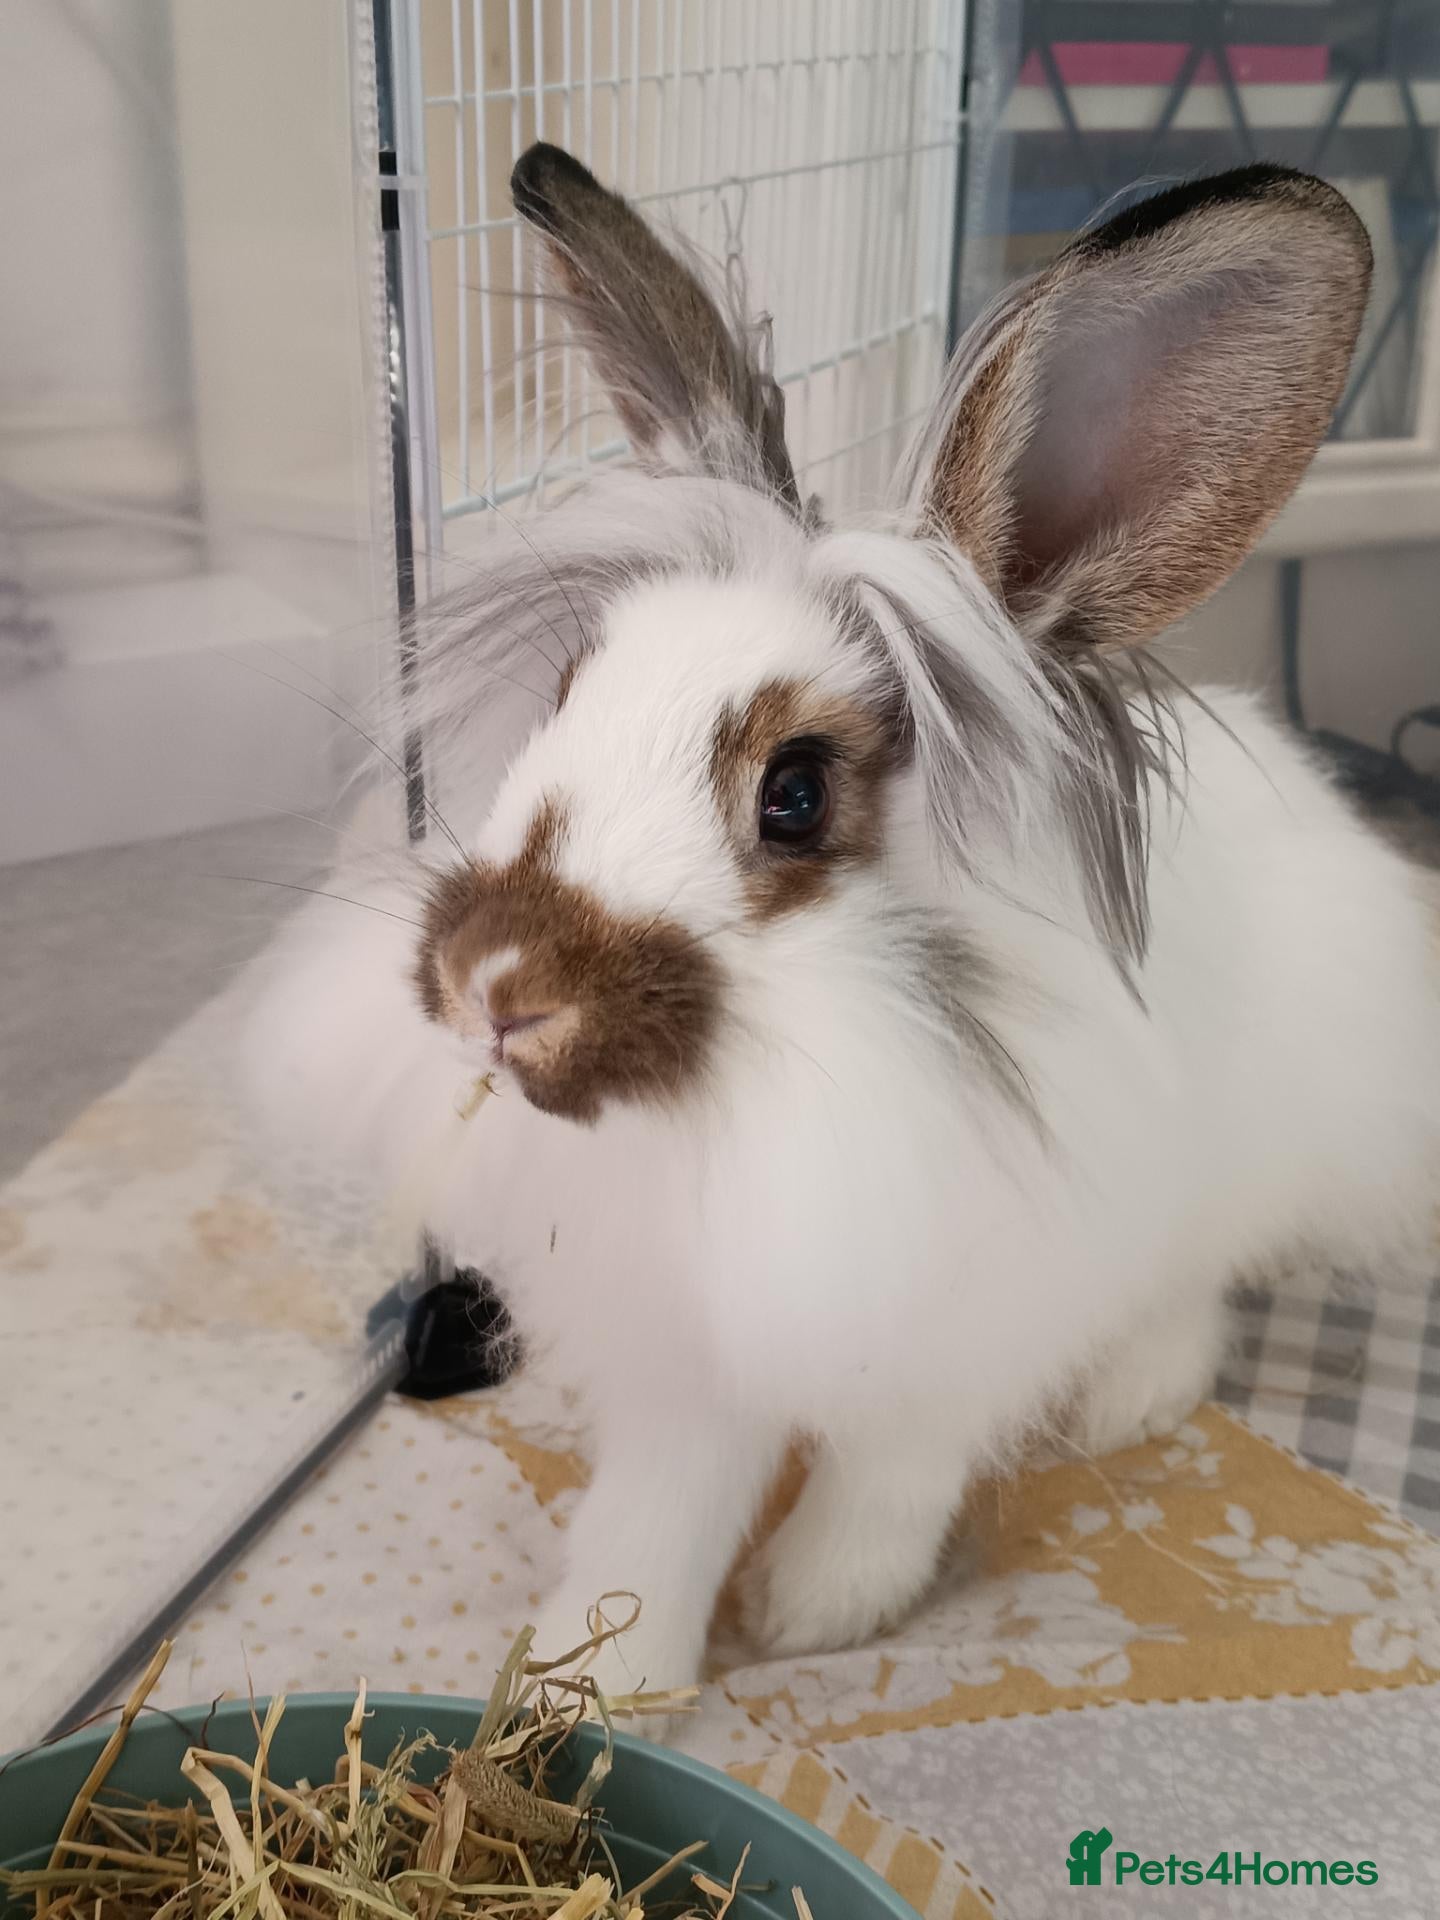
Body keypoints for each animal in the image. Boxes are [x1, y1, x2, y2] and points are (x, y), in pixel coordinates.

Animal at [243, 144, 1440, 1718]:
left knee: (1198, 1285)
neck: (778, 1103)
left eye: (798, 794)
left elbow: (887, 1481)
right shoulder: (685, 1359)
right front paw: (594, 1678)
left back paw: (1125, 1399)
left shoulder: (955, 1343)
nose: (492, 985)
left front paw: (816, 1612)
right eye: (567, 695)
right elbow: (656, 1515)